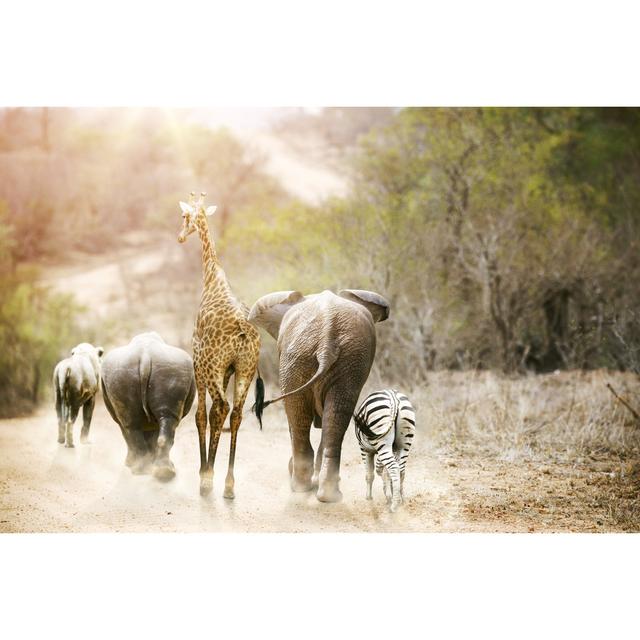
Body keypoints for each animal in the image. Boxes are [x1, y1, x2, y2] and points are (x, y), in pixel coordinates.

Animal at [100, 336, 194, 480]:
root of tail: (145, 356)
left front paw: (132, 463)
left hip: (128, 371)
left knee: (131, 424)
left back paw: (144, 471)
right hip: (169, 369)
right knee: (161, 419)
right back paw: (163, 472)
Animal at [176, 190, 264, 500]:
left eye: (184, 216)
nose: (180, 237)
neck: (212, 275)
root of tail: (243, 332)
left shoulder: (198, 360)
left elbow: (202, 415)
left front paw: (204, 472)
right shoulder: (227, 370)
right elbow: (214, 415)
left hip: (215, 367)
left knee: (222, 409)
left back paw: (208, 480)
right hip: (245, 369)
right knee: (235, 413)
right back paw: (228, 484)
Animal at [249, 288, 390, 502]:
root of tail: (327, 336)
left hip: (305, 358)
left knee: (304, 416)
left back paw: (303, 487)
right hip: (328, 360)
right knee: (332, 415)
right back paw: (325, 494)